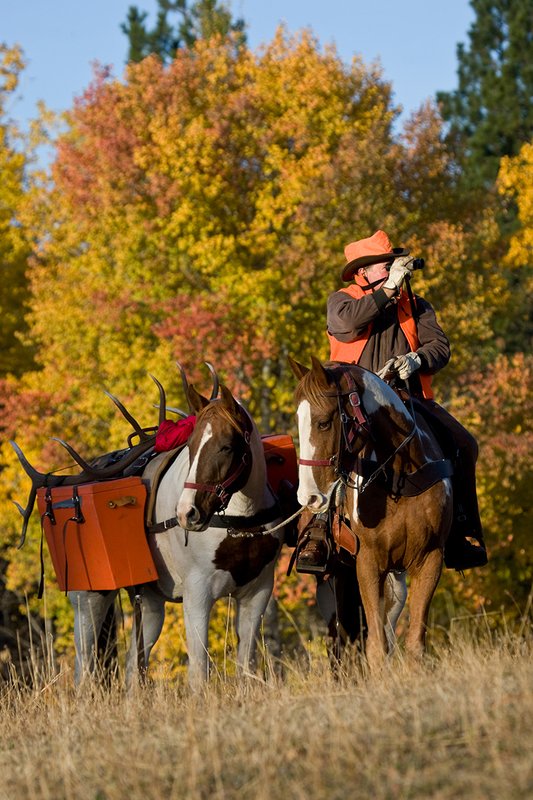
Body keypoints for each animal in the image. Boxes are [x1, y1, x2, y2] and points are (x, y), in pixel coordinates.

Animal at [12, 374, 286, 688]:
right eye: (190, 445)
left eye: (227, 446)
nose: (187, 512)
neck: (239, 525)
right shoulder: (197, 593)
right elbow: (198, 673)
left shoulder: (257, 593)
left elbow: (245, 669)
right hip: (89, 600)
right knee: (85, 666)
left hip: (150, 604)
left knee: (133, 665)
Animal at [290, 356, 453, 670]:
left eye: (324, 423)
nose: (309, 498)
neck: (401, 477)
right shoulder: (368, 563)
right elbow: (376, 647)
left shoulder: (430, 559)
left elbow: (414, 644)